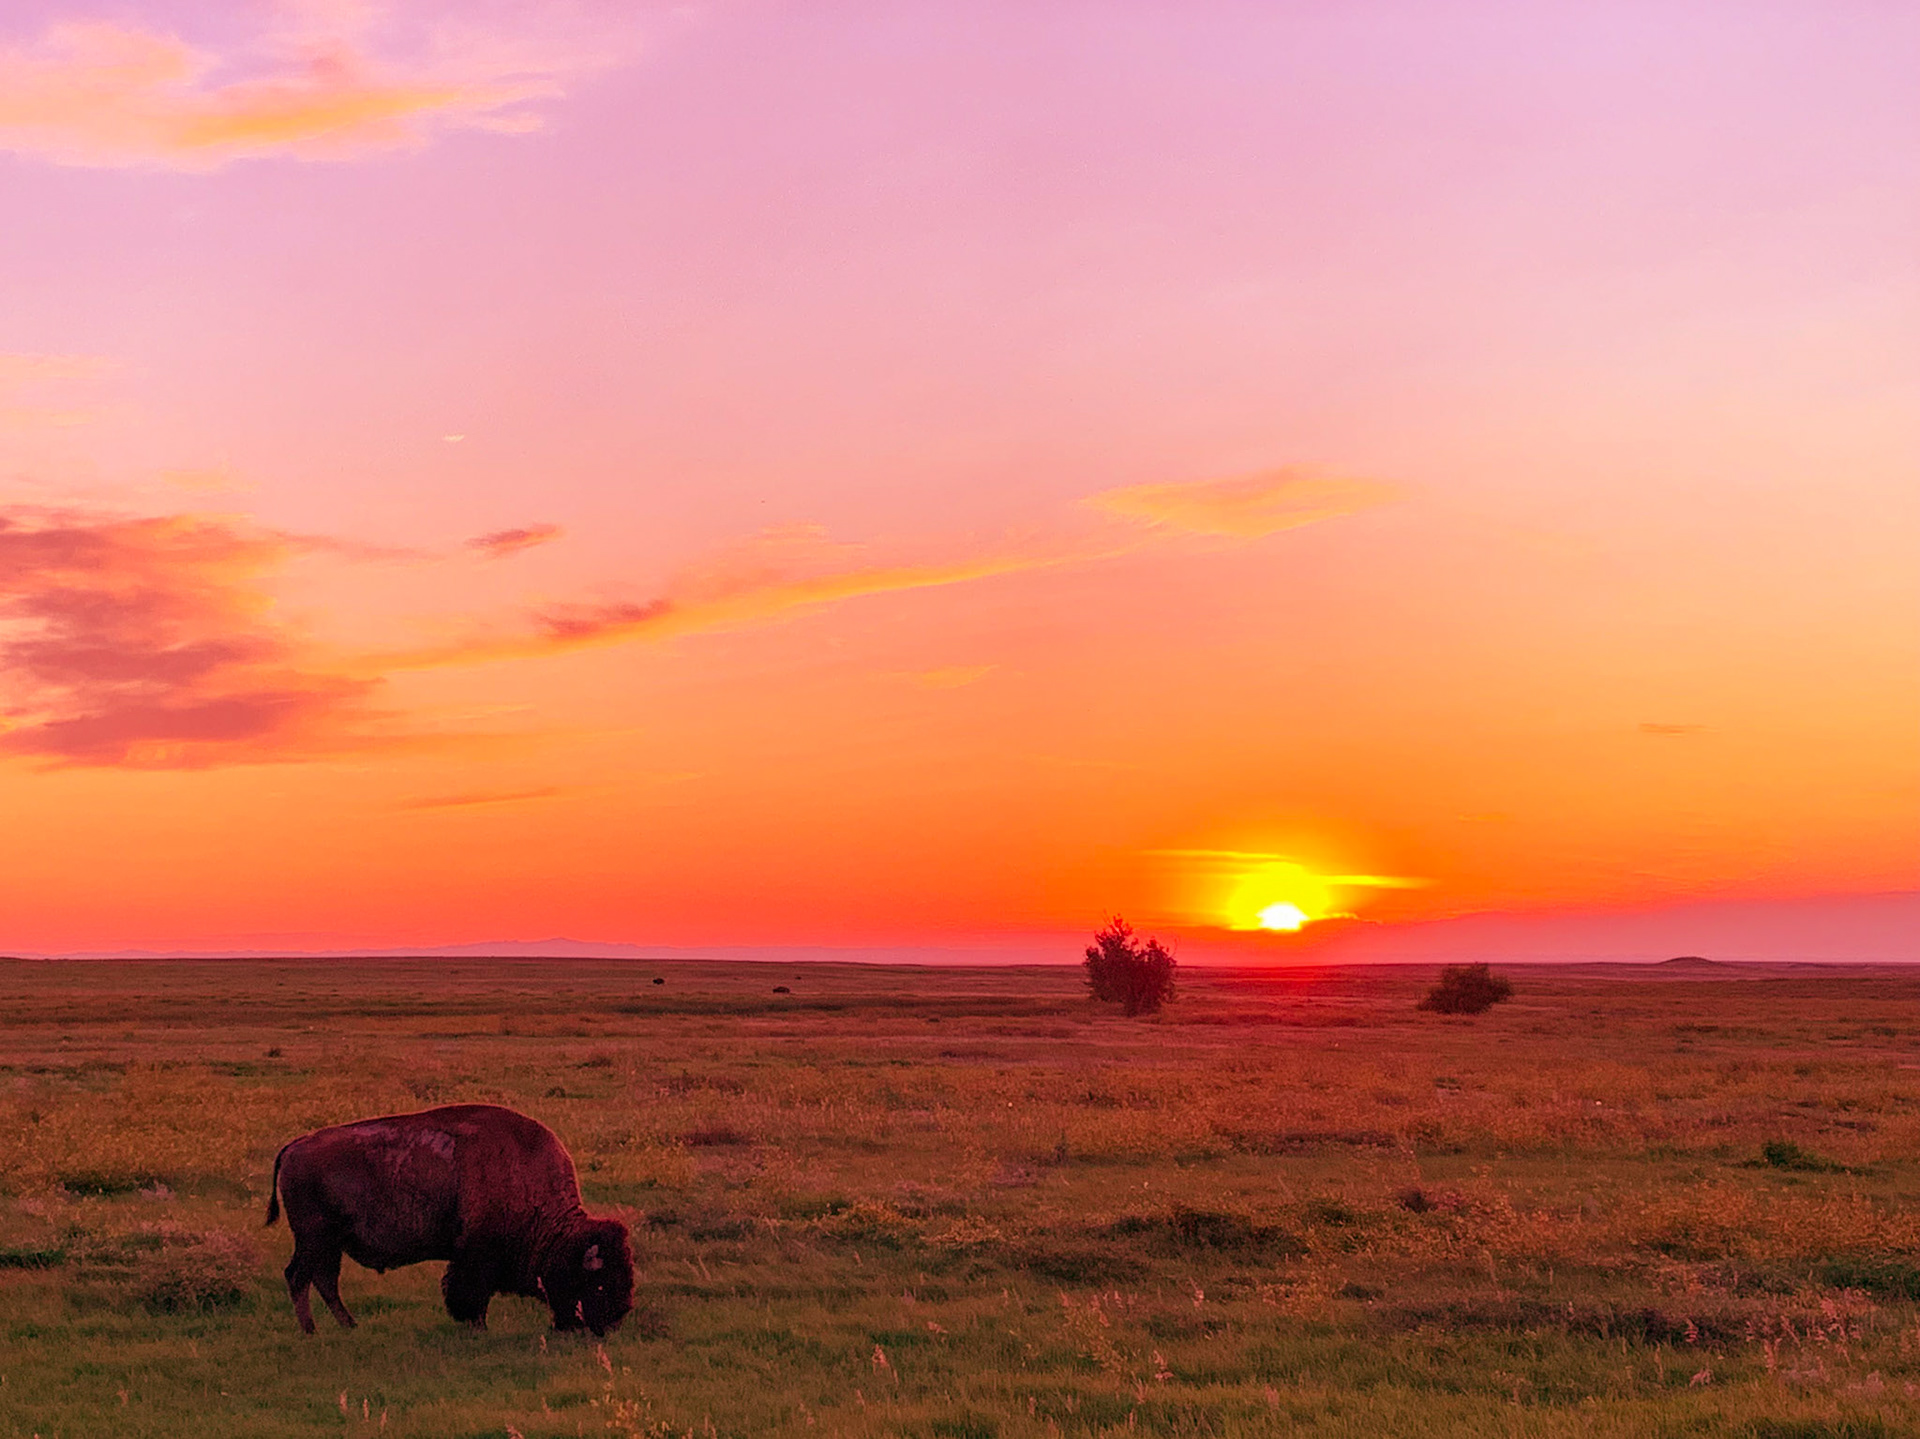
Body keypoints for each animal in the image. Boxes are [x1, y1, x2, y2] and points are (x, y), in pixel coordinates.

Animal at [265, 1103, 633, 1336]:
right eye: (600, 1282)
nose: (615, 1321)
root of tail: (295, 1145)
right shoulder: (475, 1255)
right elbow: (470, 1292)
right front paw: (477, 1326)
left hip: (329, 1243)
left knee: (323, 1280)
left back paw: (348, 1326)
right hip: (315, 1238)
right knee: (299, 1277)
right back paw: (312, 1331)